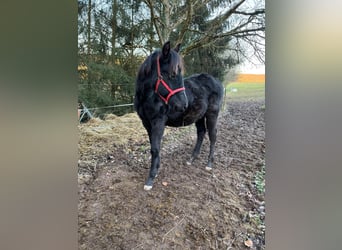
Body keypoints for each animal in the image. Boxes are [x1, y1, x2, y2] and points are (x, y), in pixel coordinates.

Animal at [134, 41, 224, 190]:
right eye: (172, 74)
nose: (183, 105)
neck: (149, 96)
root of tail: (218, 82)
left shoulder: (158, 122)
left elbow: (155, 149)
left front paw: (150, 179)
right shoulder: (146, 123)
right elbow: (154, 146)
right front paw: (156, 171)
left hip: (212, 114)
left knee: (213, 135)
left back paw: (209, 164)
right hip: (199, 116)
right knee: (201, 133)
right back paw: (192, 159)